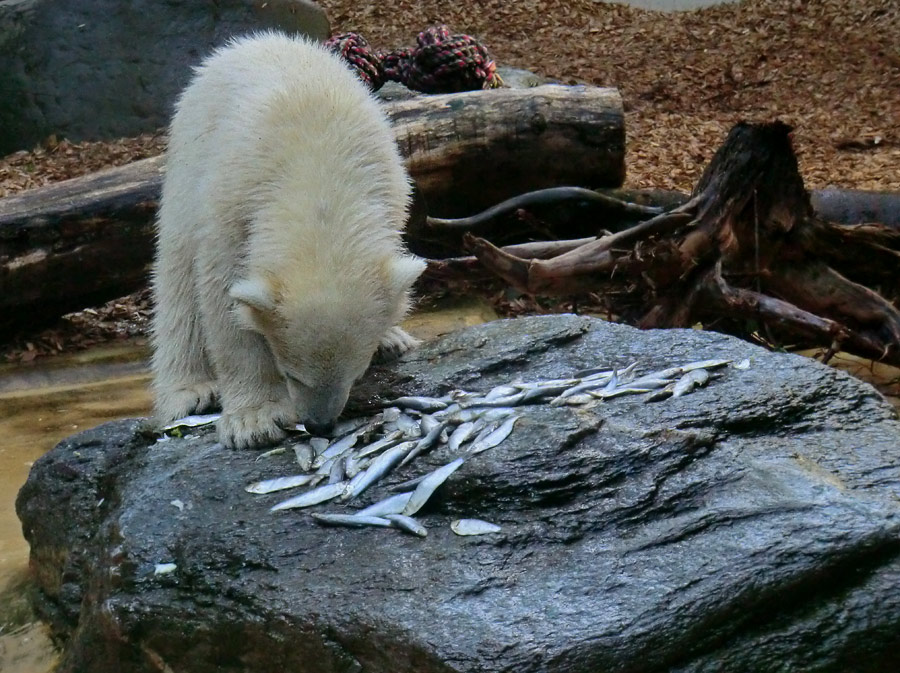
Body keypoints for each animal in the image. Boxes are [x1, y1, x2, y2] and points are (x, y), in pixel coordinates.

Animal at [150, 34, 426, 448]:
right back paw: (191, 391)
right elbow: (225, 301)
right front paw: (255, 421)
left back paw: (394, 339)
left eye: (354, 372)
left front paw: (387, 337)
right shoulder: (233, 205)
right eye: (292, 373)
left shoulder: (389, 188)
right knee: (177, 276)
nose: (319, 424)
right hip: (186, 164)